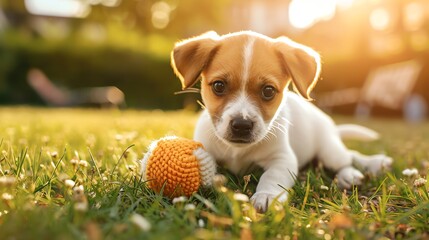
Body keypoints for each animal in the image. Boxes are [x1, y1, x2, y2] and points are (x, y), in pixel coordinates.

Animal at [170, 31, 392, 212]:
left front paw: (266, 196)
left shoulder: (283, 159)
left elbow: (271, 177)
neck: (238, 152)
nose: (242, 125)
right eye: (218, 86)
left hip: (329, 151)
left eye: (268, 91)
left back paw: (356, 172)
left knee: (348, 158)